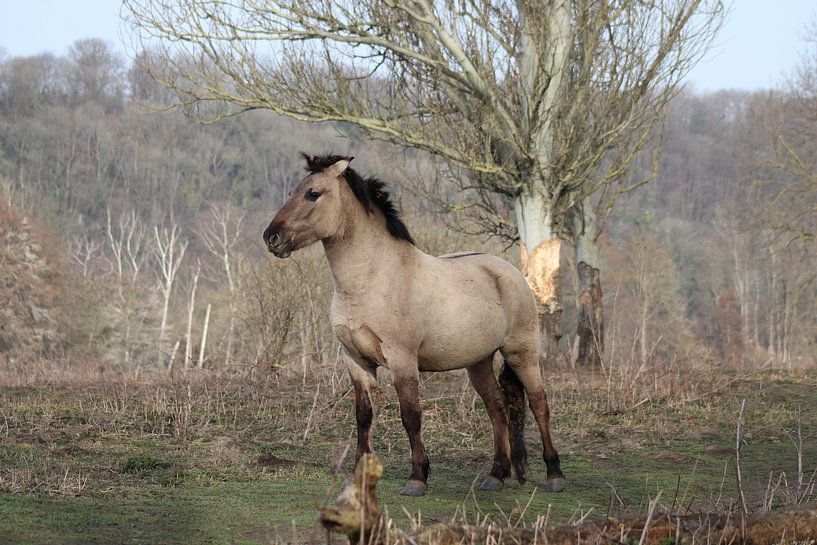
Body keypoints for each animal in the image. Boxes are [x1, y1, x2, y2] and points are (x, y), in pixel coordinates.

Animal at [263, 154, 565, 496]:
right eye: (292, 193)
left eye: (313, 194)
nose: (272, 238)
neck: (372, 280)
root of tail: (511, 273)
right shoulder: (356, 361)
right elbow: (363, 416)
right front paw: (357, 474)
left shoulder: (402, 360)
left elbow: (410, 416)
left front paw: (417, 477)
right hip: (478, 363)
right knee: (498, 407)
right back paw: (496, 474)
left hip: (522, 354)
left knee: (540, 404)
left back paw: (554, 474)